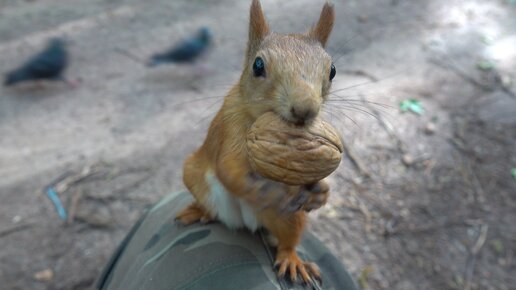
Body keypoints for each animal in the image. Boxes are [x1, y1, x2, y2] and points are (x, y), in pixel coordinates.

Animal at [177, 0, 336, 286]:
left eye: (332, 71)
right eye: (258, 66)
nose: (305, 110)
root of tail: (244, 222)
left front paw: (320, 192)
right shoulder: (231, 130)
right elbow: (231, 171)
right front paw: (275, 193)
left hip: (290, 220)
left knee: (288, 242)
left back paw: (293, 260)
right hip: (194, 176)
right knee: (212, 206)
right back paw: (199, 212)